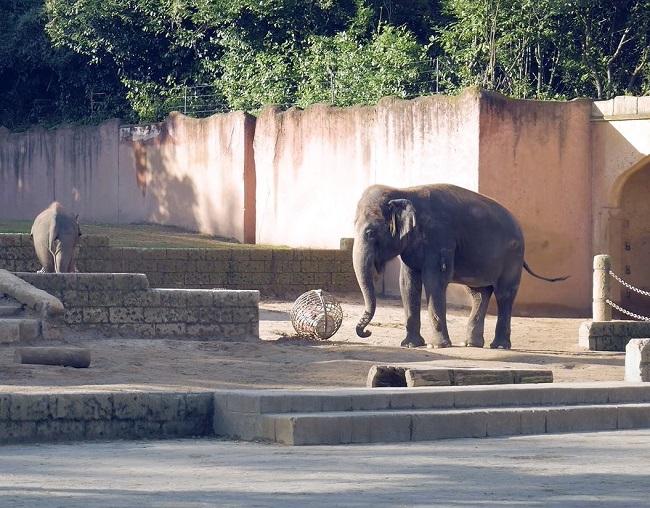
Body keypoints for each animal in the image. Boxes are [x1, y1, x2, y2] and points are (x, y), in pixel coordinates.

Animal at [352, 186, 564, 350]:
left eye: (370, 233)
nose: (367, 331)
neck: (404, 191)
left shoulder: (439, 238)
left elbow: (434, 281)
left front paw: (437, 346)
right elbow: (408, 284)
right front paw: (410, 345)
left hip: (513, 256)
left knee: (504, 294)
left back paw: (499, 346)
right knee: (479, 294)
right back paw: (471, 344)